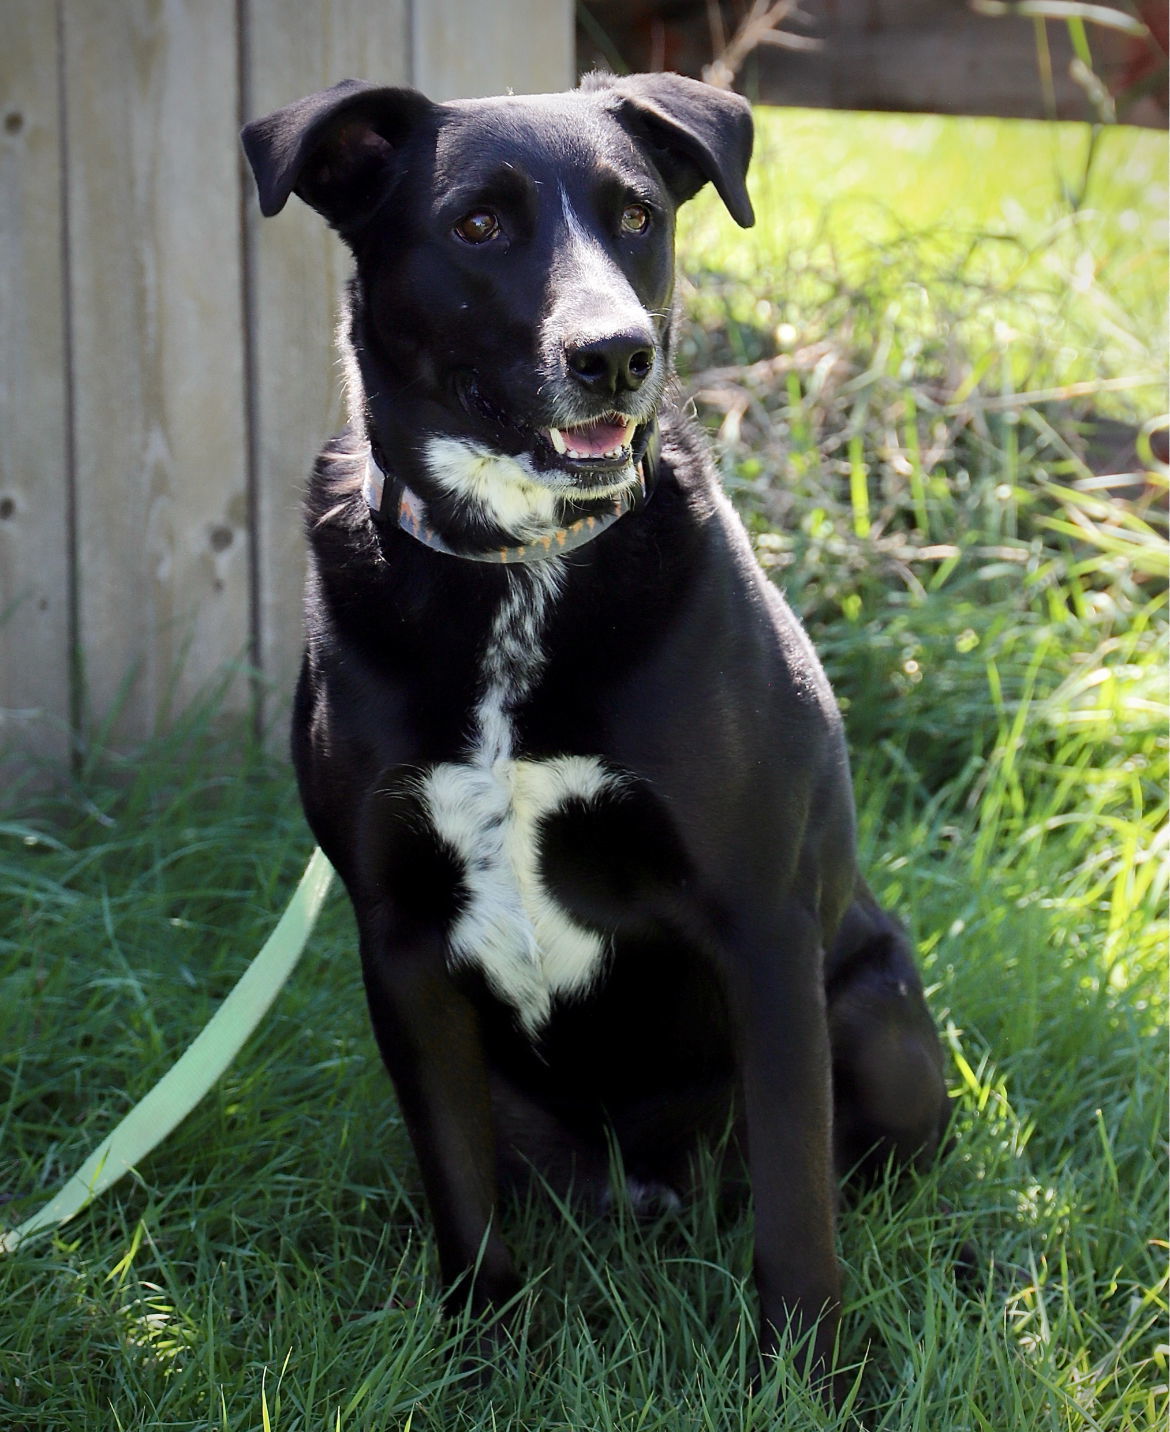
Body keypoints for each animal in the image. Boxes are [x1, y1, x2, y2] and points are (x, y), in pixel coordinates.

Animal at [242, 69, 945, 1386]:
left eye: (636, 216)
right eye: (476, 225)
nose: (615, 353)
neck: (520, 567)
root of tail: (647, 1191)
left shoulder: (763, 923)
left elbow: (797, 1200)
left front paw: (811, 1373)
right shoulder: (399, 942)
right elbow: (459, 1187)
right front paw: (480, 1353)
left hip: (875, 1017)